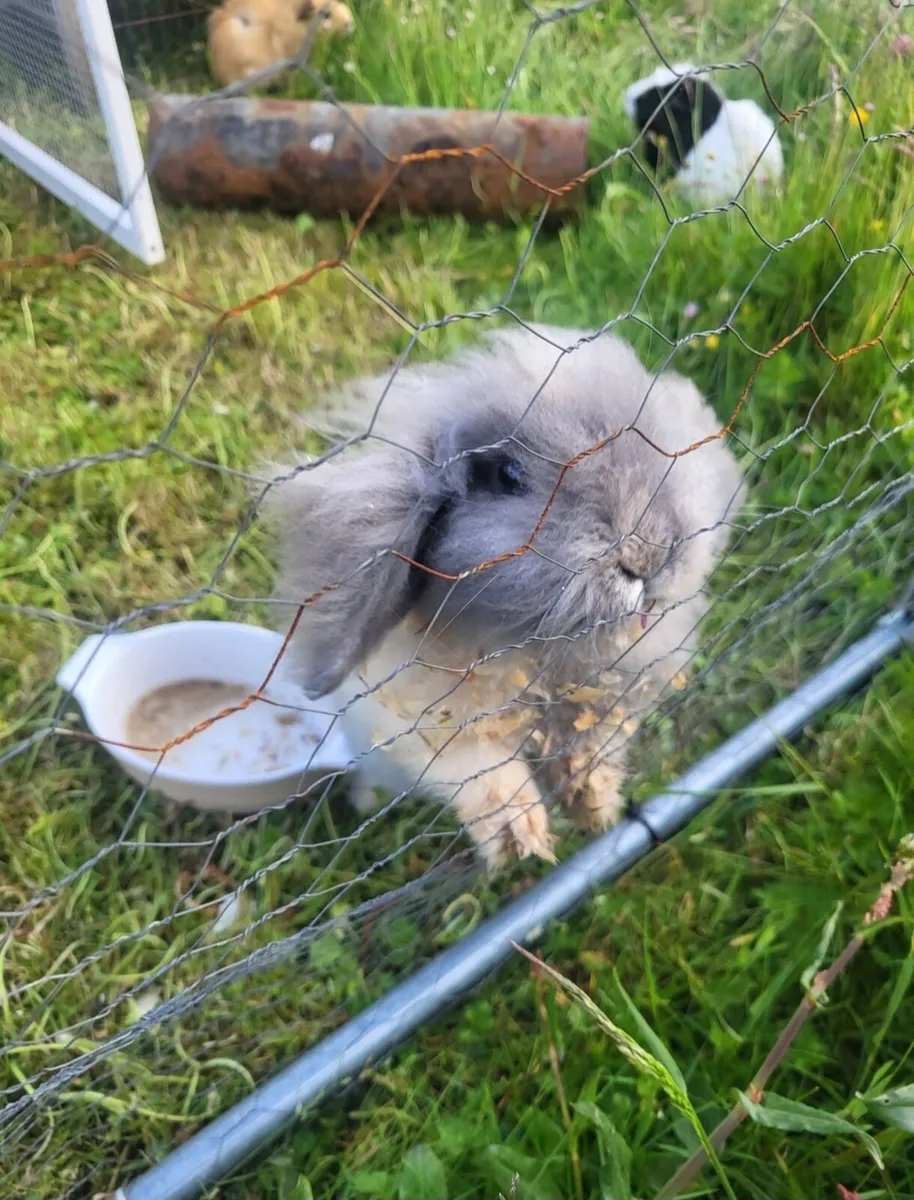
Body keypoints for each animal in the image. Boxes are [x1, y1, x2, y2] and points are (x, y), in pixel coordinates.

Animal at [264, 323, 745, 870]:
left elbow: (593, 738)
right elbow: (482, 773)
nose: (651, 557)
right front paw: (524, 838)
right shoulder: (427, 725)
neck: (527, 646)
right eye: (507, 475)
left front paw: (595, 803)